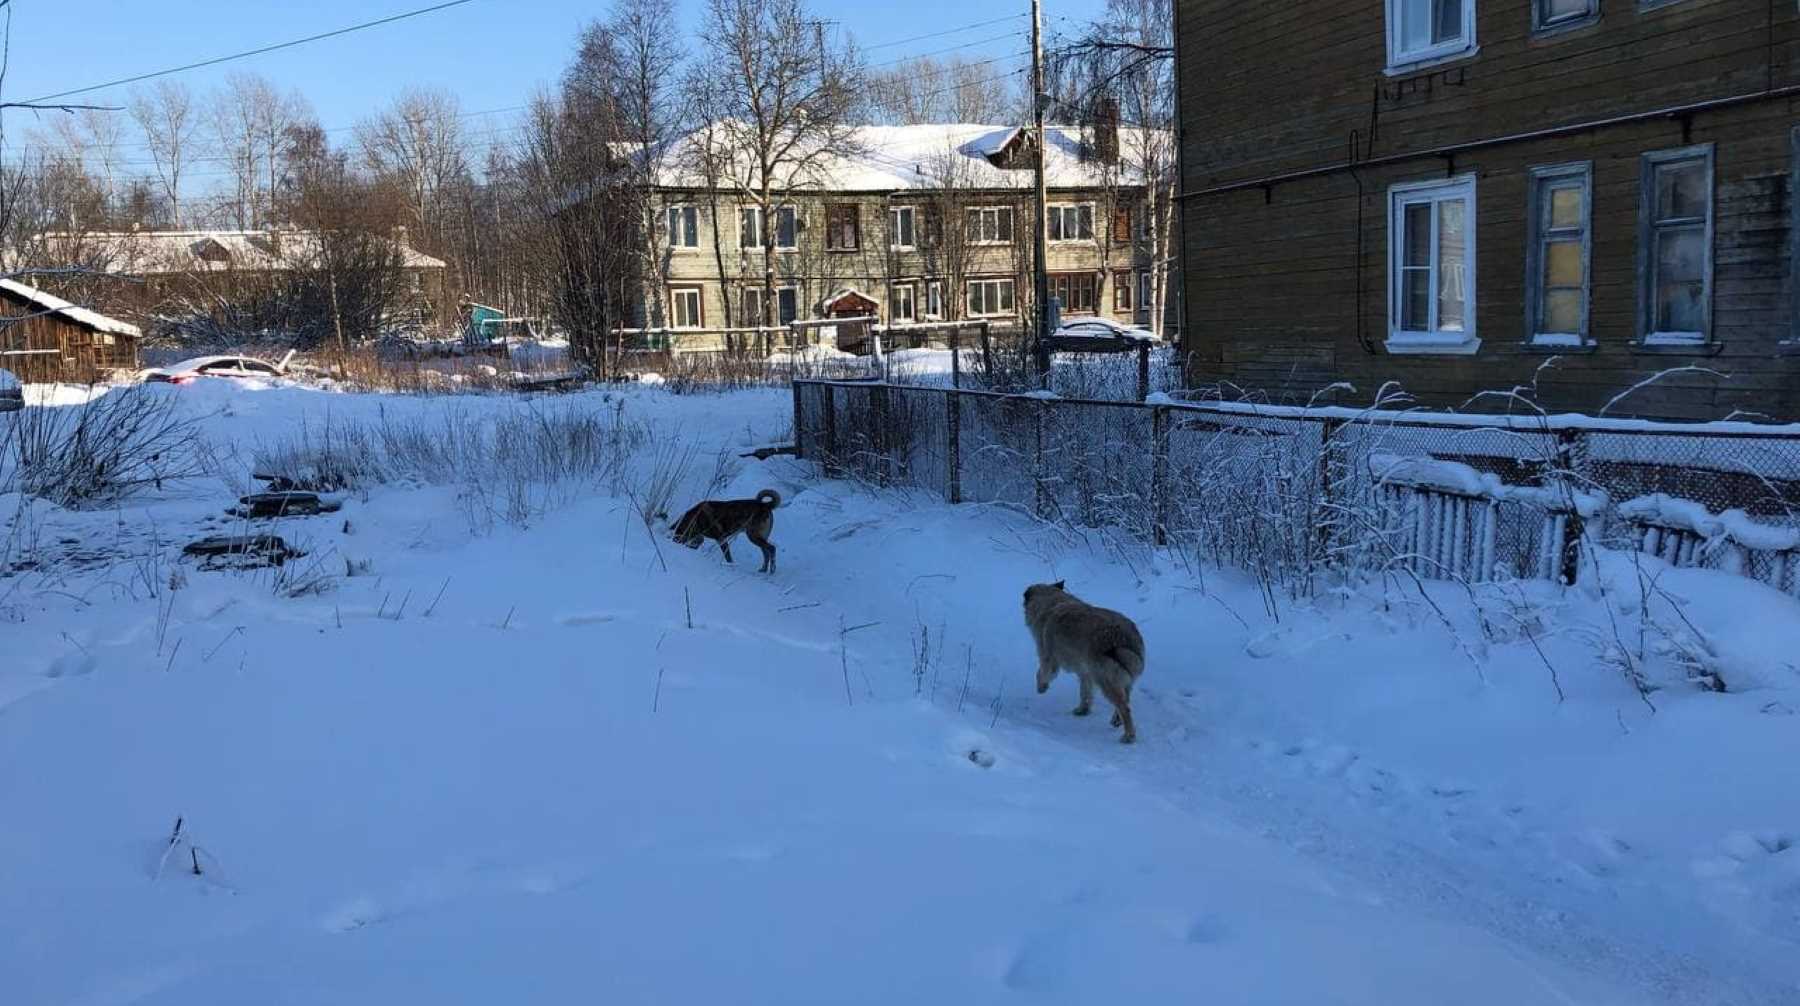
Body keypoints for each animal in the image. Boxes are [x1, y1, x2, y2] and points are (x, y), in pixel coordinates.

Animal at [1022, 583, 1144, 741]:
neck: (1051, 603)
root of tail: (1124, 639)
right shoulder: (1086, 673)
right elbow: (1085, 693)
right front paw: (1083, 710)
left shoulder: (1048, 659)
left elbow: (1041, 673)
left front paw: (1042, 687)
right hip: (1121, 680)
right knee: (1126, 699)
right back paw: (1116, 720)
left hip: (1106, 681)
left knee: (1125, 708)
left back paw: (1129, 736)